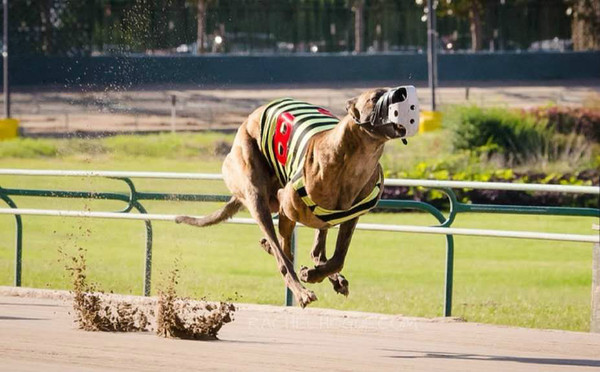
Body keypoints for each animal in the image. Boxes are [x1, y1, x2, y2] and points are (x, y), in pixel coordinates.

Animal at [176, 85, 420, 306]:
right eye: (375, 97)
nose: (402, 93)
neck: (354, 162)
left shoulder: (350, 218)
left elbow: (337, 258)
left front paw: (314, 274)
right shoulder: (287, 207)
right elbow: (285, 255)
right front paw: (303, 281)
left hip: (315, 216)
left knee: (315, 251)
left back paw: (328, 276)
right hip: (254, 189)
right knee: (281, 250)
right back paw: (299, 284)